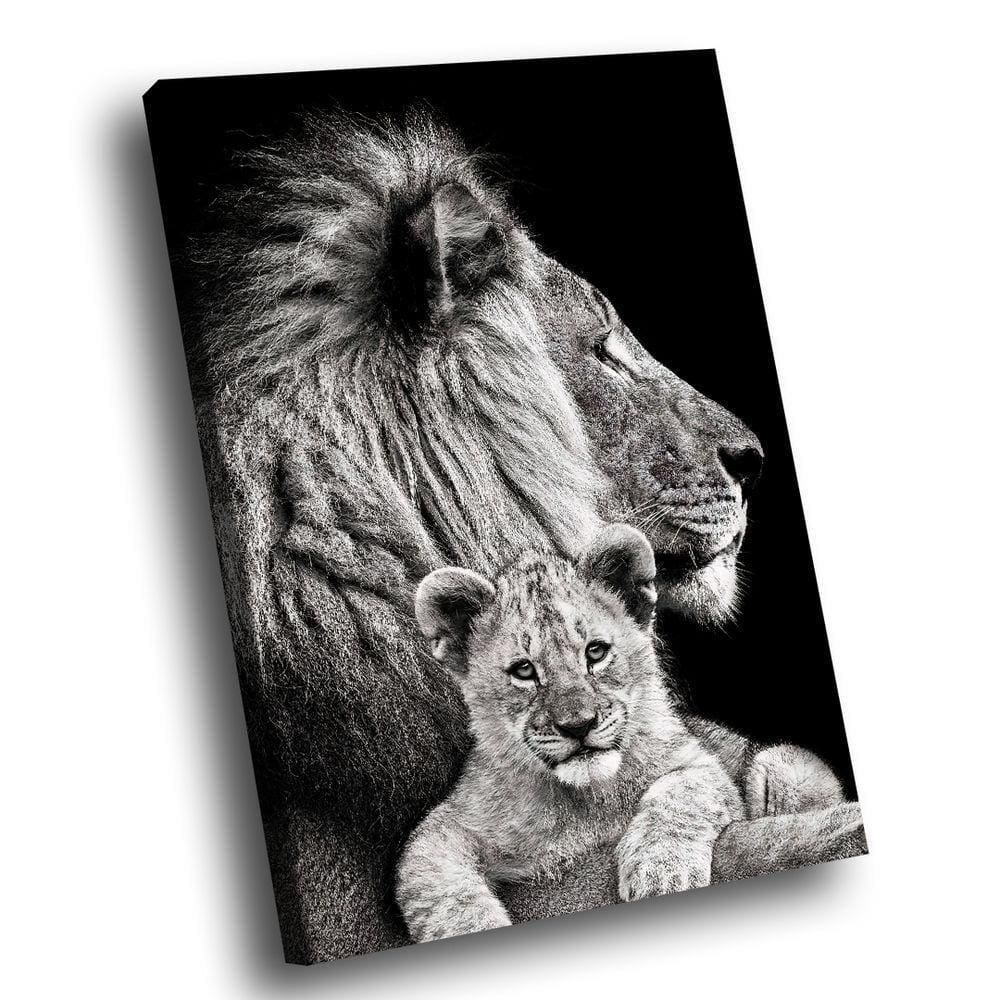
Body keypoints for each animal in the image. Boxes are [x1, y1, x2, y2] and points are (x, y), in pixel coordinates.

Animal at [399, 524, 744, 943]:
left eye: (596, 652)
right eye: (523, 670)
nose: (578, 724)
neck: (585, 800)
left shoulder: (700, 763)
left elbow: (683, 793)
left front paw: (661, 874)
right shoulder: (443, 829)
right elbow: (444, 894)